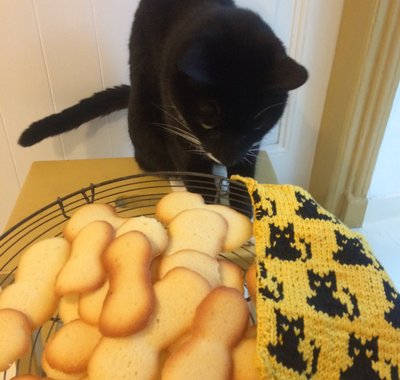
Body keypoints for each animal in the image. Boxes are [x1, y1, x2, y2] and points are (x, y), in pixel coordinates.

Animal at [18, 0, 306, 184]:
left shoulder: (251, 147)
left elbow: (244, 177)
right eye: (206, 122)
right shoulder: (180, 132)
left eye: (258, 126)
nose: (226, 156)